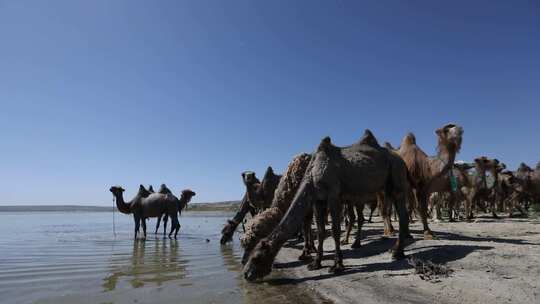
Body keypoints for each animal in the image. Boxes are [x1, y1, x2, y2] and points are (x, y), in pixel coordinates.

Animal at [243, 129, 412, 282]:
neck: (312, 176)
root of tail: (402, 160)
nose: (246, 274)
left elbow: (335, 230)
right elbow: (320, 230)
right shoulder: (318, 200)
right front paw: (316, 263)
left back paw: (397, 252)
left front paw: (337, 265)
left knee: (402, 214)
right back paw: (386, 248)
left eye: (256, 257)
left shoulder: (333, 195)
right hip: (384, 187)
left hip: (396, 176)